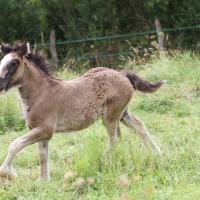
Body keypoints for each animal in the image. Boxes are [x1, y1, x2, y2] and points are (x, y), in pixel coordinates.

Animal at [0, 42, 163, 181]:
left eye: (13, 63)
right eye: (2, 61)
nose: (0, 84)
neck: (40, 93)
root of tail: (122, 74)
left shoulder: (46, 130)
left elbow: (15, 144)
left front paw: (8, 173)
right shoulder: (40, 131)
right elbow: (42, 155)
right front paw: (44, 181)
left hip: (110, 117)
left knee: (115, 139)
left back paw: (104, 162)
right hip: (123, 114)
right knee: (139, 127)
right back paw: (158, 154)